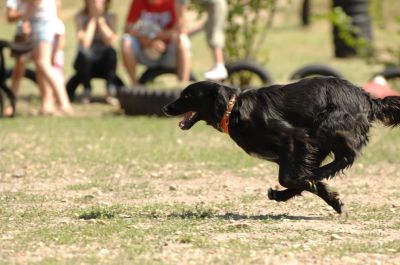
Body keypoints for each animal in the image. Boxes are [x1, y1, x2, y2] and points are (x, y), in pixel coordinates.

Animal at [162, 77, 400, 213]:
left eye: (186, 95)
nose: (165, 108)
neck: (234, 109)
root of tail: (369, 98)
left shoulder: (296, 138)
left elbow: (287, 178)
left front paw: (313, 185)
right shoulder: (296, 152)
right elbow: (296, 179)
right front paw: (331, 198)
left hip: (326, 125)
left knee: (347, 156)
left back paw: (309, 179)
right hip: (320, 140)